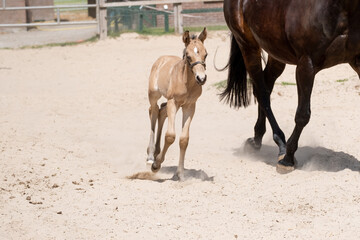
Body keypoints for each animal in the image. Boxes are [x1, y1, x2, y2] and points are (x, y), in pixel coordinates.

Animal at [146, 28, 208, 180]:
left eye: (206, 54)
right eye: (188, 56)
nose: (201, 78)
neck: (186, 82)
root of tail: (162, 59)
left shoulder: (190, 106)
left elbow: (183, 139)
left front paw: (180, 174)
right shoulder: (173, 102)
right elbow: (170, 136)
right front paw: (156, 165)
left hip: (174, 104)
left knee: (161, 111)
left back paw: (156, 152)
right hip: (154, 95)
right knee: (153, 111)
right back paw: (150, 156)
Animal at [222, 0, 360, 172]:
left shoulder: (357, 61)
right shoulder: (306, 65)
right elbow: (302, 115)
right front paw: (287, 159)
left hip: (276, 53)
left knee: (266, 85)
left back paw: (257, 139)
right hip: (248, 46)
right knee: (261, 93)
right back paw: (281, 146)